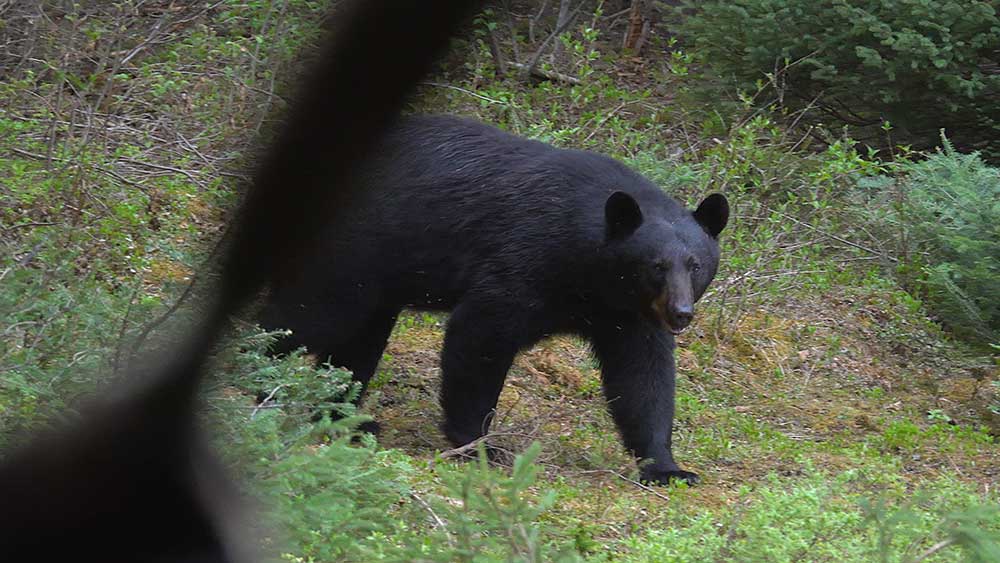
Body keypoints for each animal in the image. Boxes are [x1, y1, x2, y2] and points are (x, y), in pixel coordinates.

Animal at [260, 115, 728, 485]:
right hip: (352, 247)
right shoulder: (526, 256)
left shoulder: (627, 313)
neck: (592, 270)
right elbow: (482, 335)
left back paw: (348, 419)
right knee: (307, 317)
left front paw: (667, 467)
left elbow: (643, 377)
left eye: (695, 265)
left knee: (356, 343)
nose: (680, 314)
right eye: (656, 266)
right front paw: (480, 444)